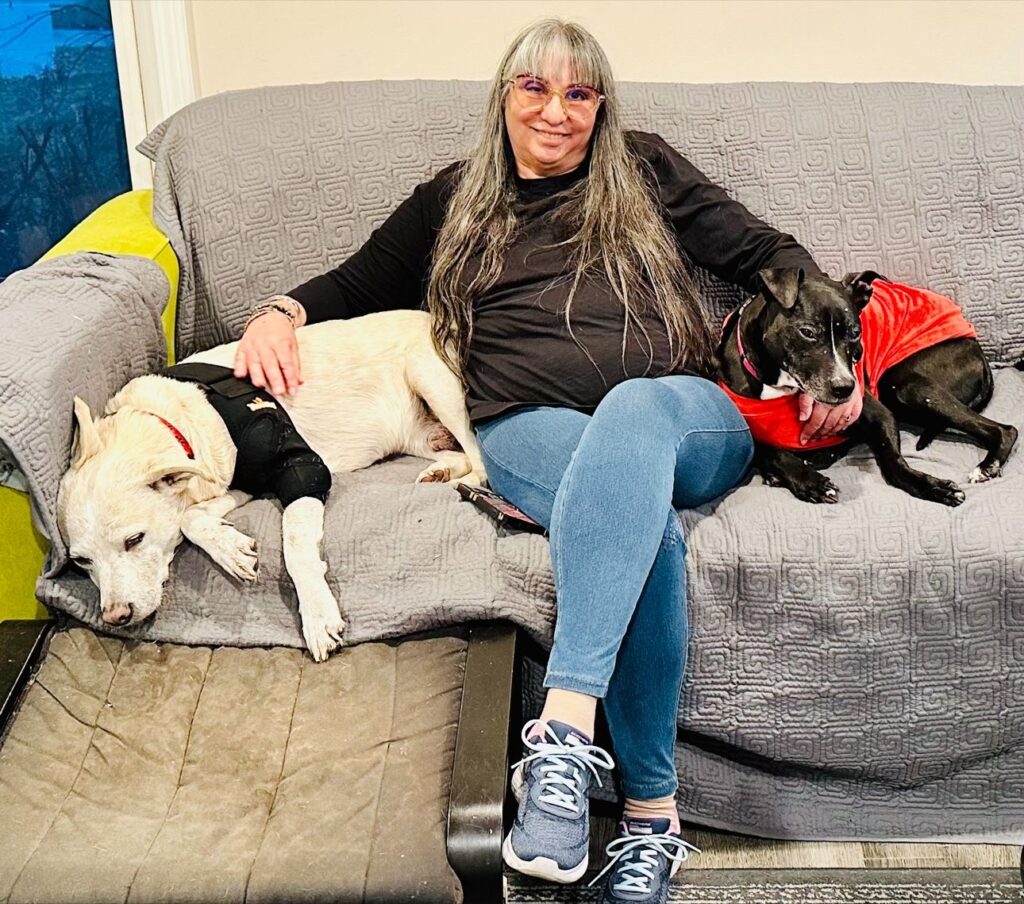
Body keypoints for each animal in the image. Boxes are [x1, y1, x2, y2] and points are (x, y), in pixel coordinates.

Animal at [56, 315, 487, 659]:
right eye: (81, 561)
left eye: (134, 540)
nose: (116, 617)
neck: (171, 419)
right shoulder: (236, 482)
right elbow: (190, 518)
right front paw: (231, 549)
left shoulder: (302, 468)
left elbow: (295, 545)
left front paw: (316, 614)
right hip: (420, 435)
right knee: (459, 453)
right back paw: (440, 472)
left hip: (430, 378)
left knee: (479, 460)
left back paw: (462, 484)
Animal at [716, 268, 1019, 509]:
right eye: (808, 332)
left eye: (855, 333)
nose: (846, 388)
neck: (781, 385)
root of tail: (979, 352)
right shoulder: (746, 436)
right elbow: (772, 451)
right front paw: (808, 481)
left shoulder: (879, 414)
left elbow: (894, 463)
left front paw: (932, 487)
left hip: (905, 385)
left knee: (1005, 430)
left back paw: (986, 467)